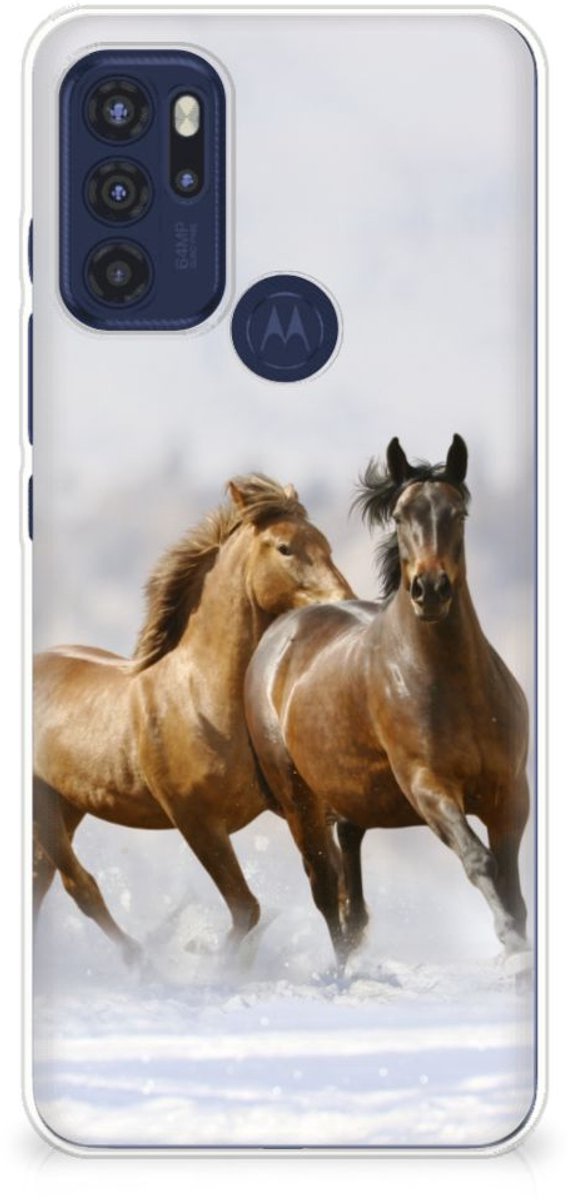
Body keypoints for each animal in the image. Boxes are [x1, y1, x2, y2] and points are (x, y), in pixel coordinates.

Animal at [33, 474, 353, 961]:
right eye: (285, 548)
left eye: (326, 544)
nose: (344, 602)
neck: (202, 698)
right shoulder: (196, 821)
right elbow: (246, 909)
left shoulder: (292, 805)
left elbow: (329, 885)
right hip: (43, 804)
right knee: (77, 885)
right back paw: (141, 961)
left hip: (68, 802)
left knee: (41, 879)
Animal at [245, 437, 530, 966]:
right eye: (399, 515)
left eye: (458, 513)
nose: (430, 590)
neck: (454, 686)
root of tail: (279, 634)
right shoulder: (428, 786)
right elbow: (479, 860)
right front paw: (511, 943)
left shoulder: (510, 793)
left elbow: (511, 882)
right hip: (299, 801)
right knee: (325, 888)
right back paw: (343, 970)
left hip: (350, 799)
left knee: (351, 889)